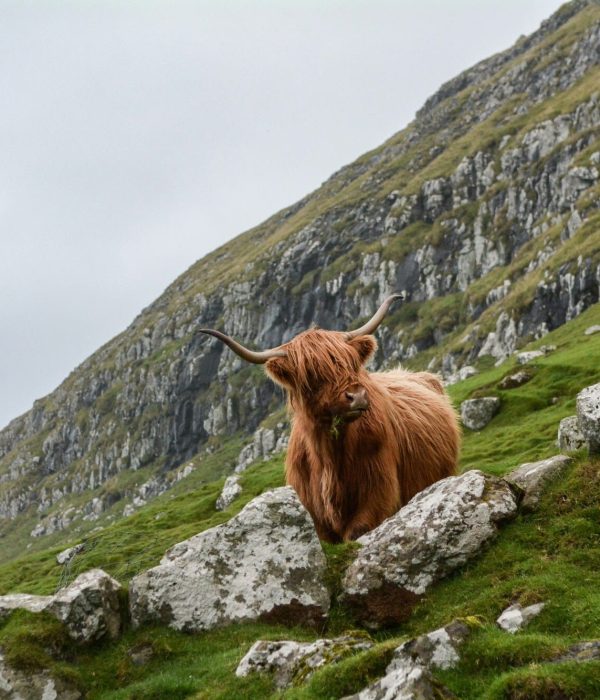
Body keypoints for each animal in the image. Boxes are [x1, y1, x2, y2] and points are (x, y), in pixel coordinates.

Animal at [200, 292, 460, 544]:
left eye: (351, 363)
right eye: (312, 374)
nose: (357, 397)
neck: (329, 459)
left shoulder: (378, 495)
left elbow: (357, 532)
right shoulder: (314, 514)